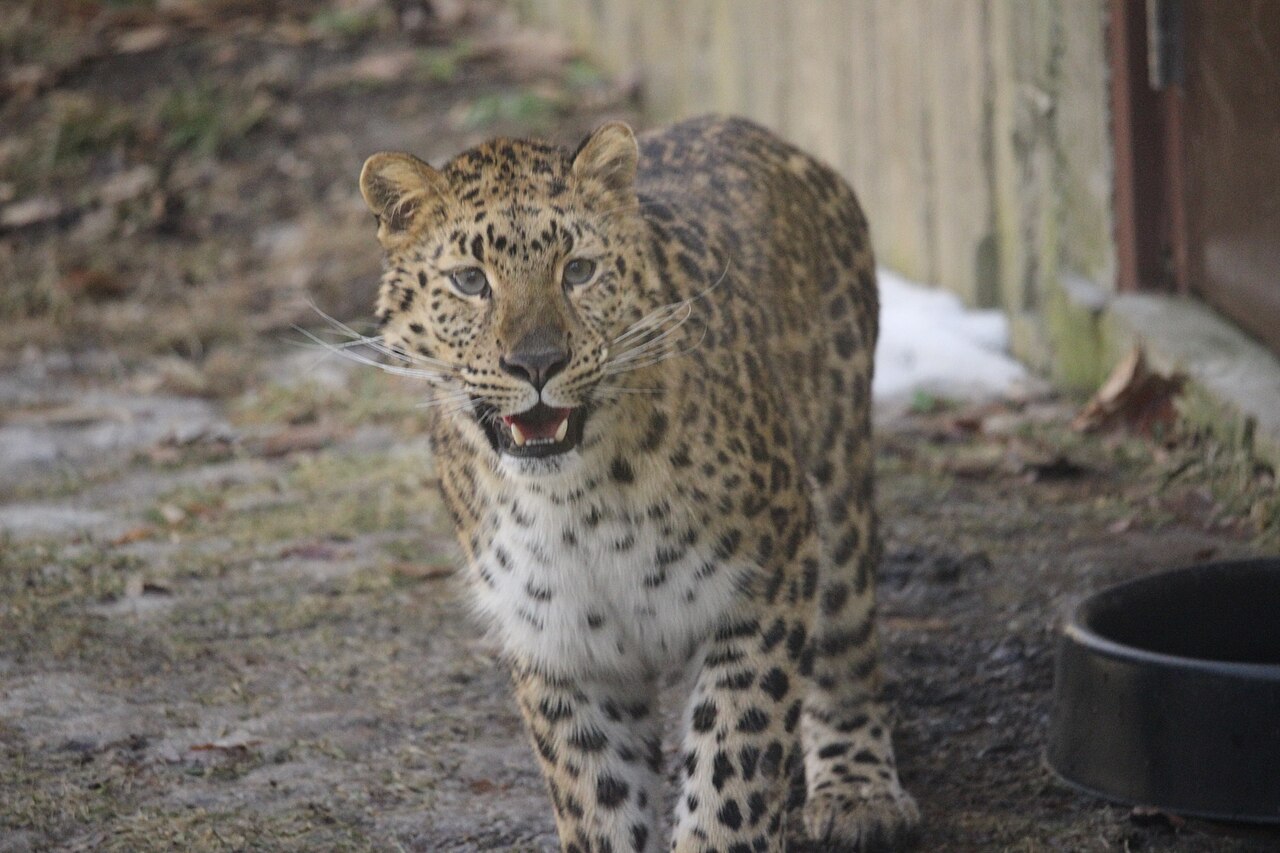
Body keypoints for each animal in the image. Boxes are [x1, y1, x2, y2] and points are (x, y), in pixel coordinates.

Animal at [356, 115, 919, 852]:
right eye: (470, 280)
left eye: (578, 270)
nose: (536, 362)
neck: (576, 503)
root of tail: (755, 129)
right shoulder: (561, 645)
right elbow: (598, 794)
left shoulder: (769, 579)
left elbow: (732, 770)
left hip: (836, 487)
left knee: (847, 650)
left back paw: (858, 794)